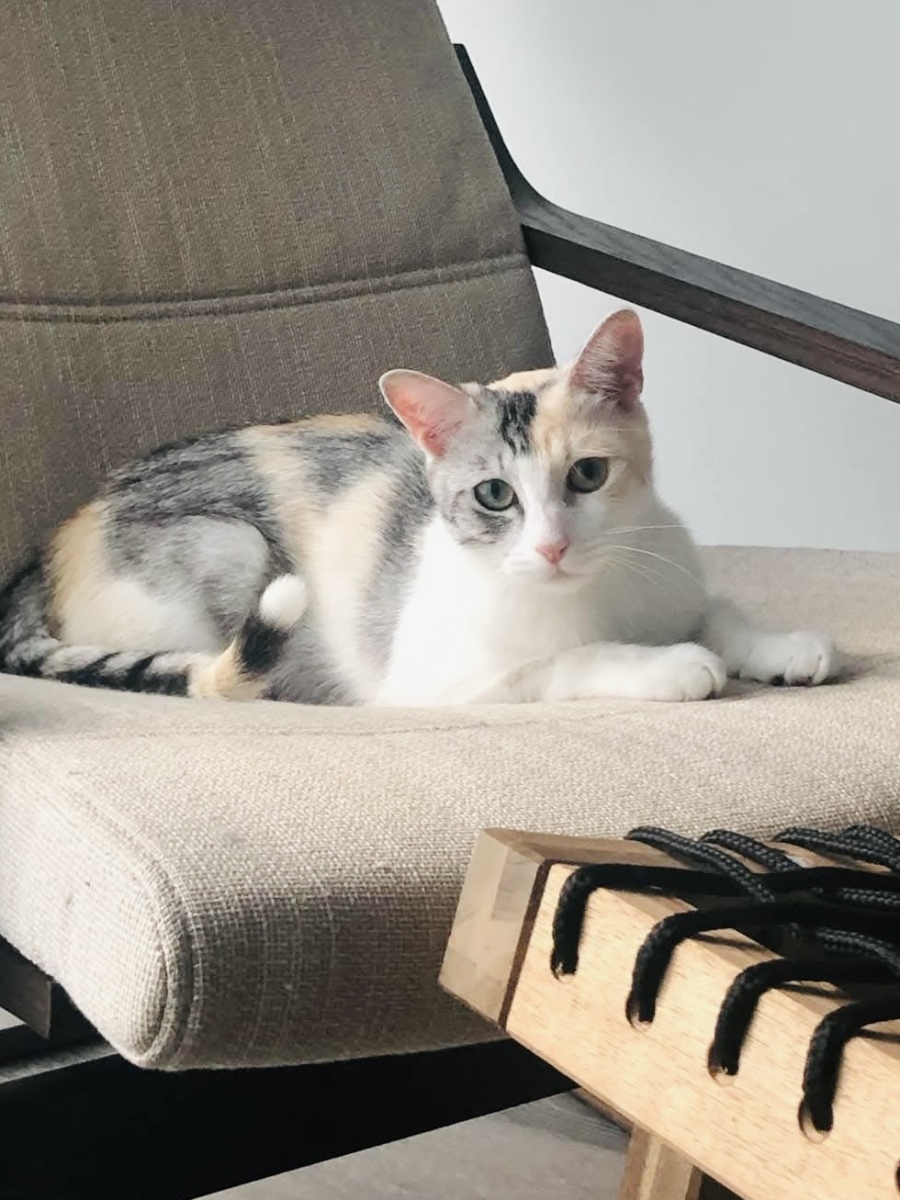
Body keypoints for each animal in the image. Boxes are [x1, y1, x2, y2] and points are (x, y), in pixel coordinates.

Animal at [0, 309, 835, 706]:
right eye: (495, 495)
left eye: (590, 475)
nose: (553, 547)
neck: (604, 593)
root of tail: (44, 552)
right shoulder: (438, 680)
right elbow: (566, 658)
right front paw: (670, 664)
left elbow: (715, 608)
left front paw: (779, 645)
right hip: (232, 550)